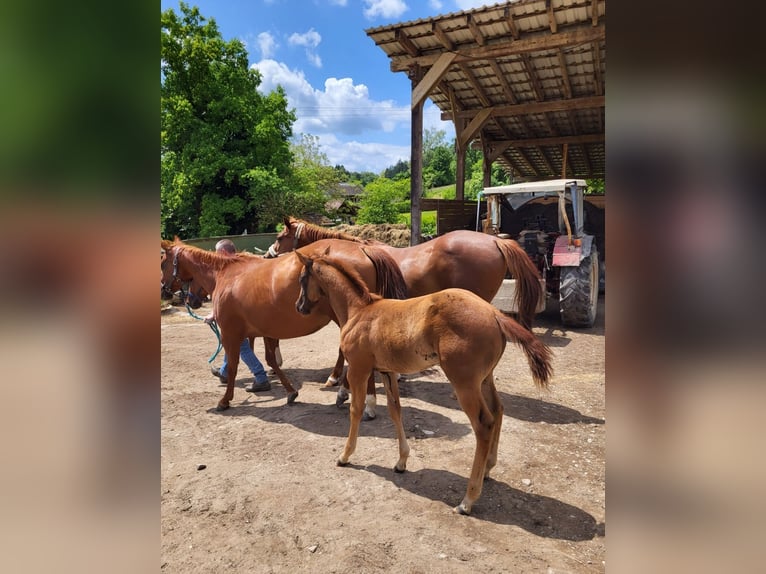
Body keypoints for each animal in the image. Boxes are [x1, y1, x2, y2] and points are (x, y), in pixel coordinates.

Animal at [160, 238, 405, 412]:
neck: (227, 275)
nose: (165, 291)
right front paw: (288, 391)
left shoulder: (231, 332)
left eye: (162, 262)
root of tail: (364, 249)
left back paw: (362, 400)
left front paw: (225, 399)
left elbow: (235, 364)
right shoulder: (264, 329)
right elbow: (270, 359)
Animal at [295, 245, 553, 515]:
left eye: (302, 278)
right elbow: (395, 411)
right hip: (484, 378)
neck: (359, 310)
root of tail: (494, 313)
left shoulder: (358, 369)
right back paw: (488, 469)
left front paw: (345, 456)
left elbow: (355, 410)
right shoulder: (387, 372)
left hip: (464, 383)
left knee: (484, 424)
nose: (299, 306)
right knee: (498, 409)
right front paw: (401, 461)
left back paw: (467, 500)